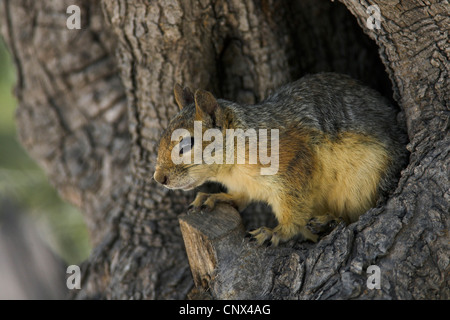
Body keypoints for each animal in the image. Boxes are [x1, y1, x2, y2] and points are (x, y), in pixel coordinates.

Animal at [153, 72, 406, 246]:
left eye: (187, 144)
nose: (159, 178)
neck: (231, 167)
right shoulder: (243, 185)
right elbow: (240, 198)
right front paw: (214, 197)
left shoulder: (293, 162)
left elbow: (293, 207)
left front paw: (277, 232)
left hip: (364, 181)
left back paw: (328, 220)